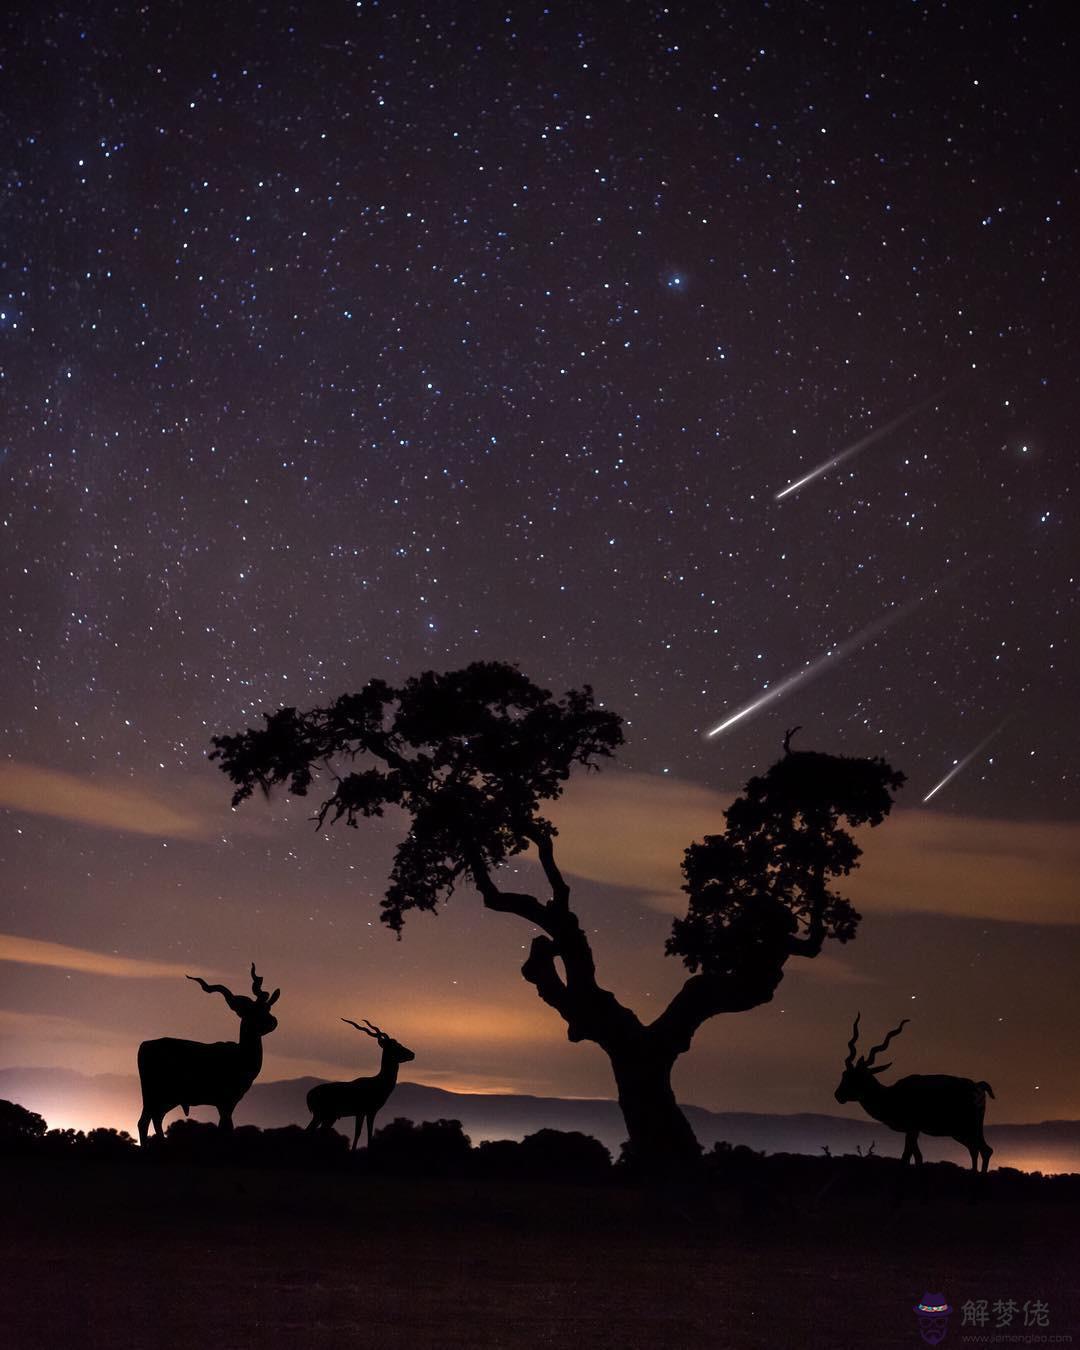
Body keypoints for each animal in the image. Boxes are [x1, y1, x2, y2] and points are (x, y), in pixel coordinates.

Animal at [136, 961, 278, 1150]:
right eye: (250, 1011)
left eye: (266, 1007)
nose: (273, 1022)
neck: (241, 1056)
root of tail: (144, 1045)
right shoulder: (225, 1102)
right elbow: (225, 1129)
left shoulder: (227, 1104)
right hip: (157, 1095)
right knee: (145, 1121)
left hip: (164, 1099)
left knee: (153, 1119)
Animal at [310, 1020, 418, 1150]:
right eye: (396, 1046)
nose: (412, 1054)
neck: (378, 1082)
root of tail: (309, 1094)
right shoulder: (368, 1112)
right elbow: (364, 1133)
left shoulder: (363, 1113)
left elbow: (361, 1133)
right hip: (321, 1116)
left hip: (328, 1118)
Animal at [837, 1015, 993, 1171]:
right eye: (844, 1074)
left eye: (858, 1077)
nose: (838, 1095)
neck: (891, 1095)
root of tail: (978, 1085)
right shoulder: (913, 1130)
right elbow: (918, 1157)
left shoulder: (912, 1129)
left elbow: (906, 1156)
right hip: (963, 1132)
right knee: (977, 1149)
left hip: (967, 1129)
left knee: (984, 1150)